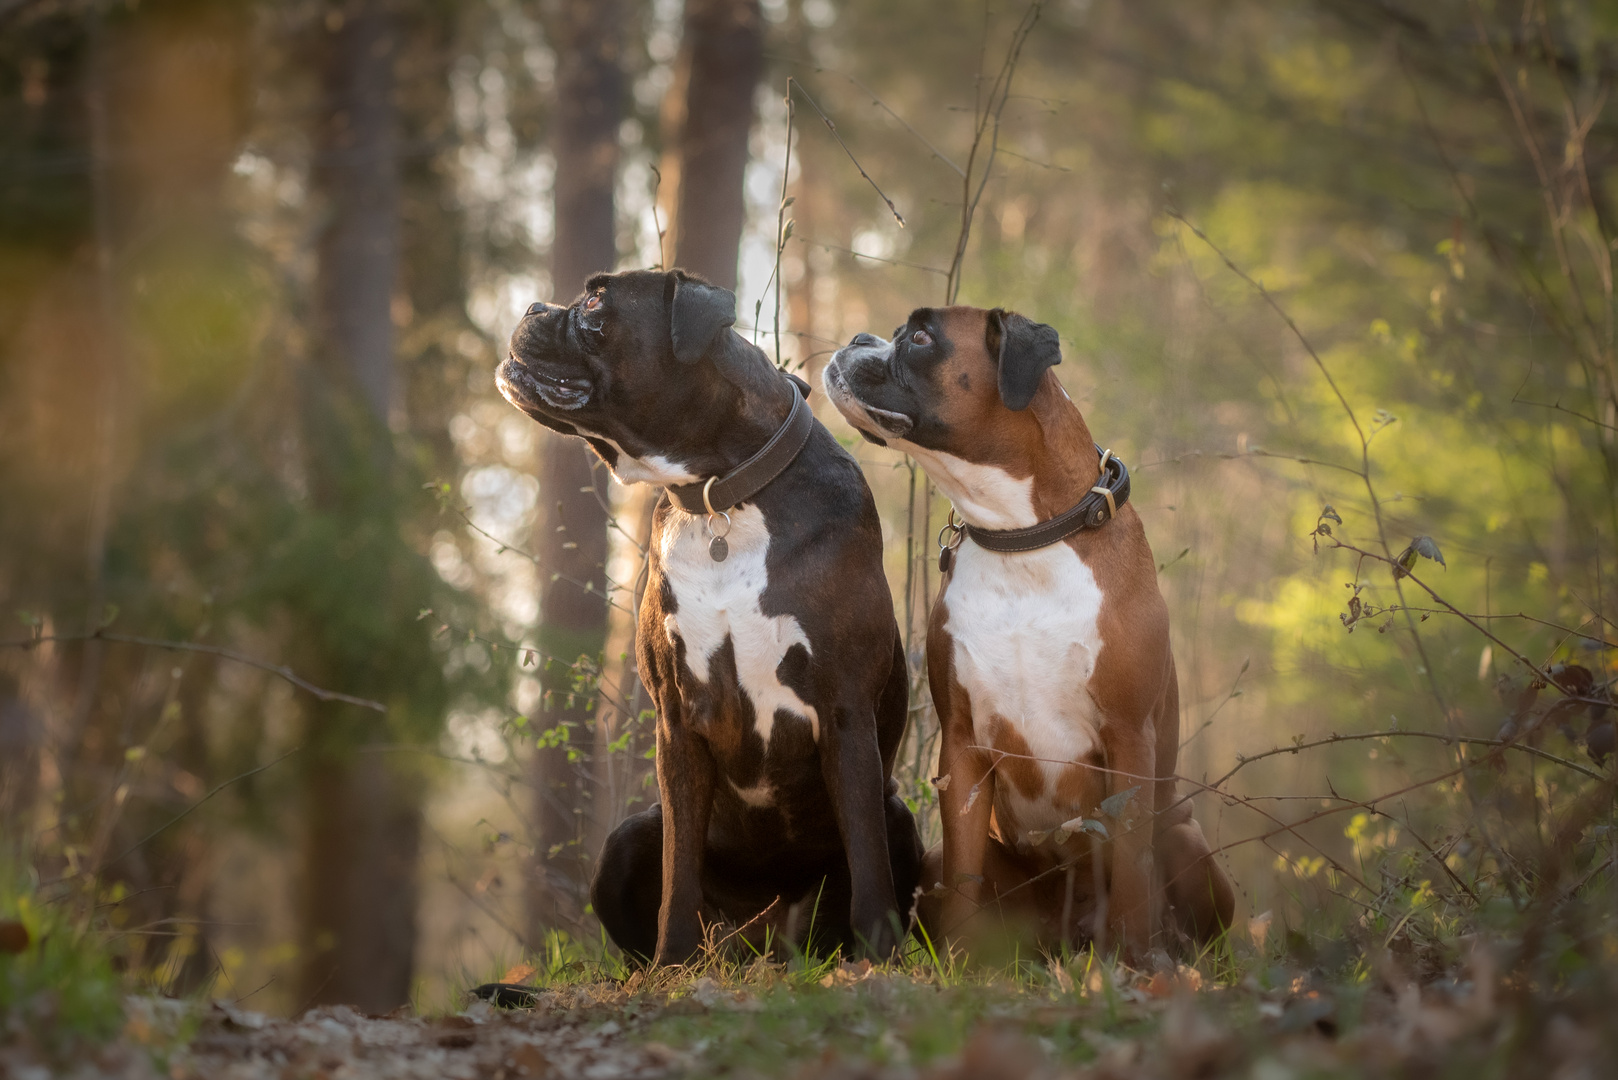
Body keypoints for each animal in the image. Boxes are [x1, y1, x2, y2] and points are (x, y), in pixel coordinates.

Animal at [491, 268, 925, 965]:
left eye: (595, 302)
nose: (533, 305)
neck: (723, 496)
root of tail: (764, 942)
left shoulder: (845, 713)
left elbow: (867, 861)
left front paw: (878, 963)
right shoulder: (677, 719)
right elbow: (679, 872)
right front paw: (673, 963)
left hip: (900, 817)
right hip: (623, 842)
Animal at [828, 307, 1229, 958]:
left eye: (921, 336)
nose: (860, 337)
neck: (1023, 538)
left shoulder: (1130, 738)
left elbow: (1133, 868)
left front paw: (1138, 964)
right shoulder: (962, 745)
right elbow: (964, 875)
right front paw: (962, 964)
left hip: (1184, 835)